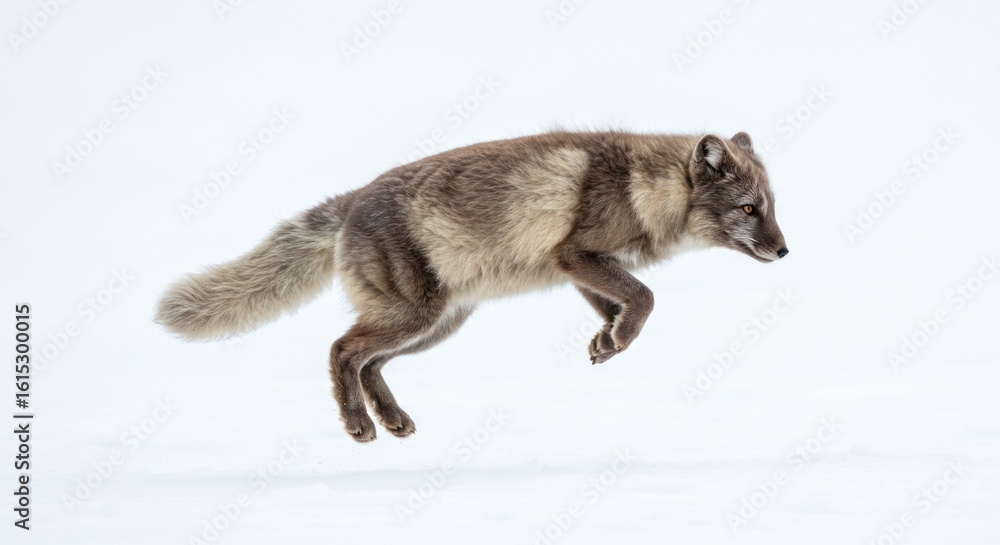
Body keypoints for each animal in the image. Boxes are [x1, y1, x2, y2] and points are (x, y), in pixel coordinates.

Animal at [156, 130, 788, 442]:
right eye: (748, 208)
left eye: (771, 206)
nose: (785, 251)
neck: (642, 184)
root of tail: (354, 199)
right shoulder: (576, 253)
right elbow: (645, 298)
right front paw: (617, 338)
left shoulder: (577, 265)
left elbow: (618, 304)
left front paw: (606, 343)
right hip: (414, 318)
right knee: (341, 351)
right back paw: (360, 425)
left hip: (435, 327)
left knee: (367, 362)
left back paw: (392, 420)